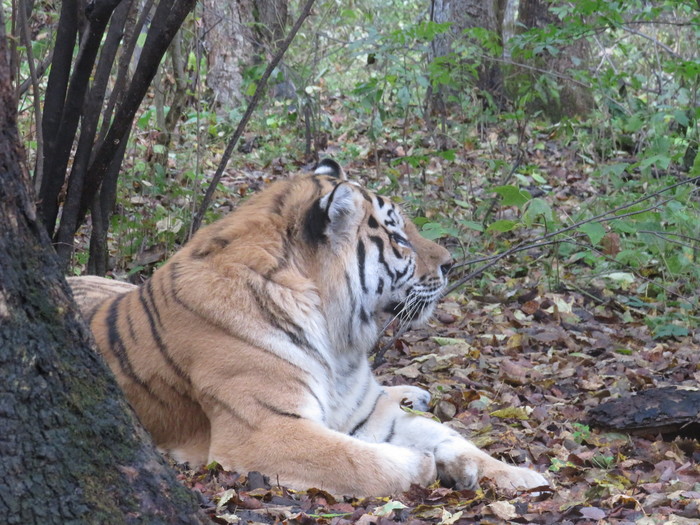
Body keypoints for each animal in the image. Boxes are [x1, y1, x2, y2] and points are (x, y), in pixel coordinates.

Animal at [65, 160, 548, 496]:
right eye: (399, 237)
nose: (451, 264)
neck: (338, 341)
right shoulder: (266, 430)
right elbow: (356, 459)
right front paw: (424, 464)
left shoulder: (364, 411)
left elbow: (454, 436)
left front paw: (523, 476)